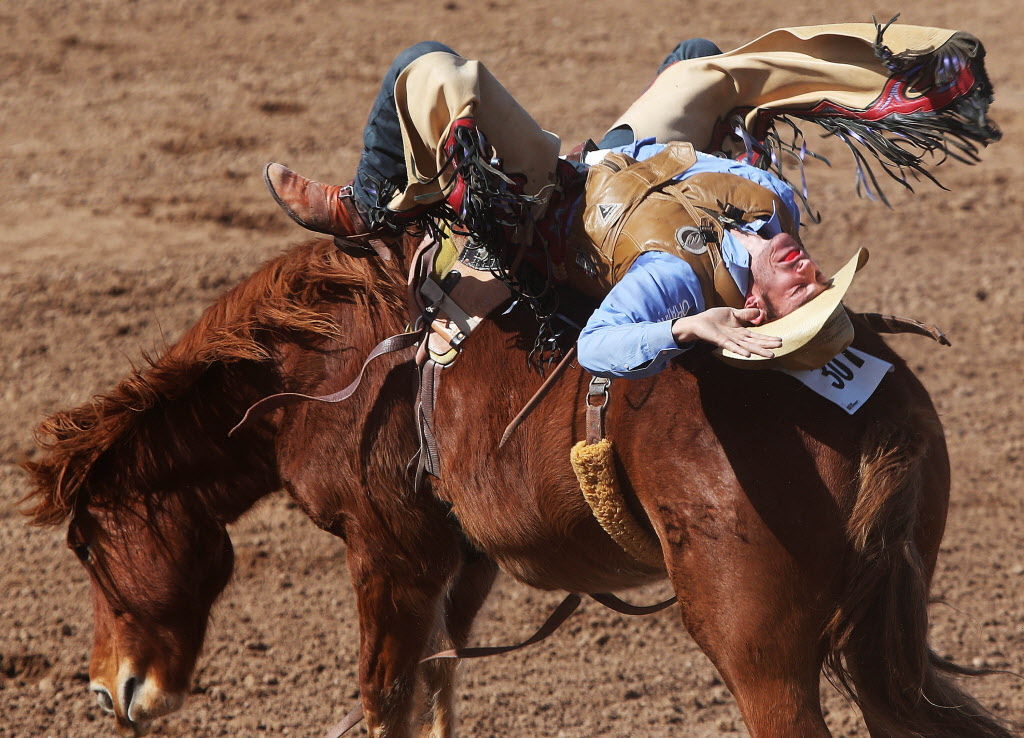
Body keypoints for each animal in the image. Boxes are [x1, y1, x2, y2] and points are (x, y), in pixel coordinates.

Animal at [22, 238, 1007, 732]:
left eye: (87, 548)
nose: (109, 693)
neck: (318, 362)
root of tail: (857, 382)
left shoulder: (389, 551)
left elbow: (386, 697)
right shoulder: (461, 564)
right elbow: (435, 691)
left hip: (756, 644)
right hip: (877, 634)